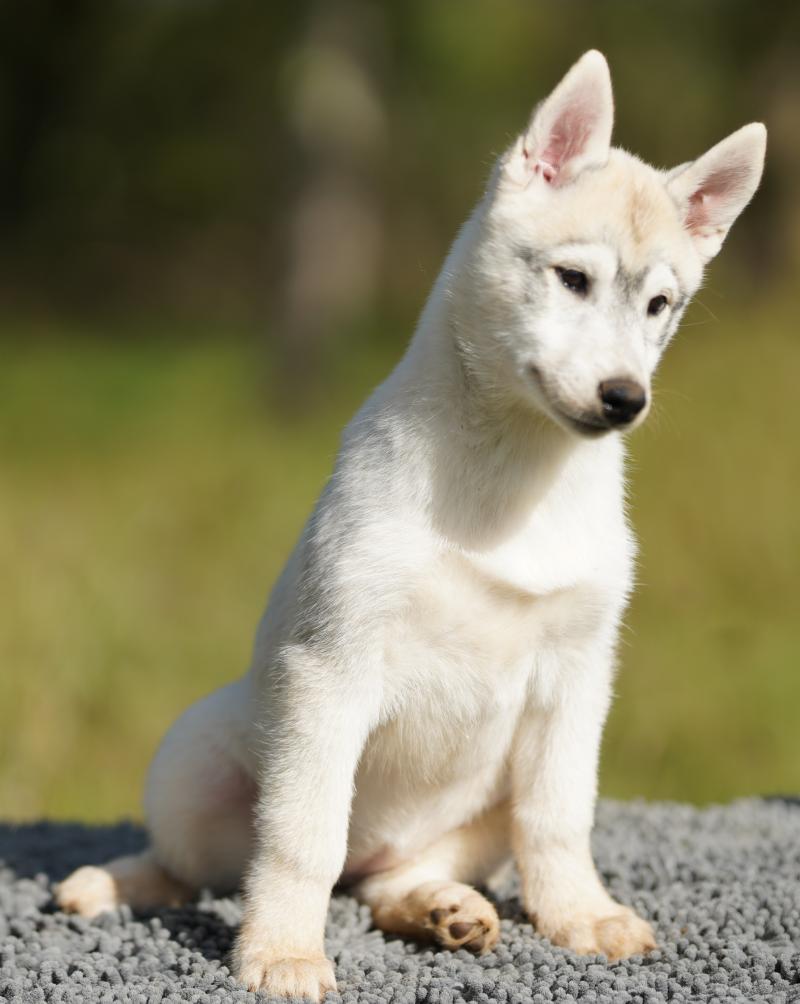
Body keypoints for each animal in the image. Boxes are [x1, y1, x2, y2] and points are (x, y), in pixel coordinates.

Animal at [56, 51, 766, 999]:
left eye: (662, 305)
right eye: (572, 279)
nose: (626, 399)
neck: (513, 473)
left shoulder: (576, 679)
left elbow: (560, 818)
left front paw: (581, 916)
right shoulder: (332, 669)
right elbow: (300, 840)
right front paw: (283, 953)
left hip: (472, 820)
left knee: (391, 878)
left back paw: (440, 909)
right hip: (192, 761)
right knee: (199, 865)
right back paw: (108, 883)